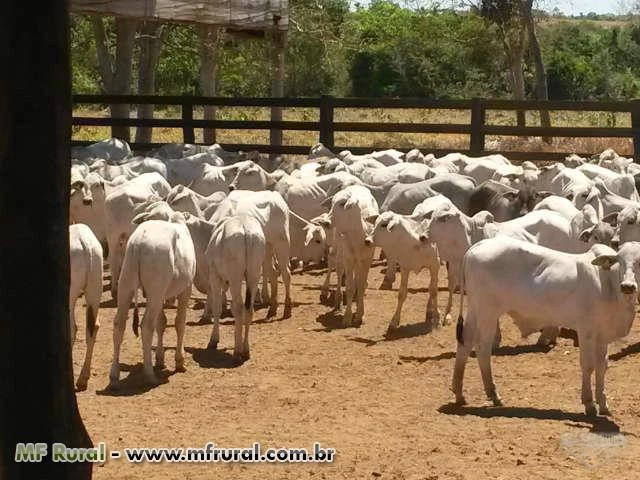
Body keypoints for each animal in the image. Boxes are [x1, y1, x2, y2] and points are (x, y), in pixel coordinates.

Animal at [109, 213, 195, 386]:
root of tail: (138, 242)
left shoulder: (160, 294)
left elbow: (161, 323)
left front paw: (160, 359)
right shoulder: (186, 289)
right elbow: (179, 323)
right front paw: (179, 361)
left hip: (127, 285)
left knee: (119, 325)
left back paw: (114, 376)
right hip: (155, 291)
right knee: (146, 326)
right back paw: (149, 374)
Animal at [452, 239, 640, 416]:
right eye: (620, 261)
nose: (628, 286)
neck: (608, 284)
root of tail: (478, 245)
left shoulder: (603, 335)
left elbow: (602, 366)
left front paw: (604, 405)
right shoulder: (586, 331)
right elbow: (588, 365)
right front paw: (589, 404)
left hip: (475, 310)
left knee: (465, 342)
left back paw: (459, 393)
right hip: (487, 312)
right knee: (482, 348)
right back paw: (493, 394)